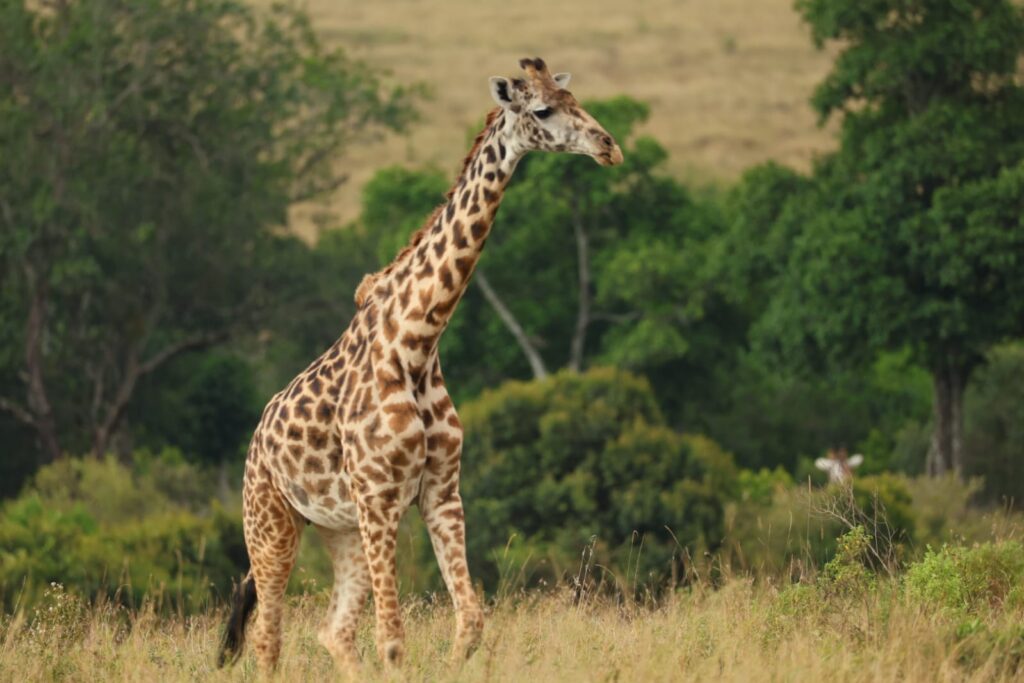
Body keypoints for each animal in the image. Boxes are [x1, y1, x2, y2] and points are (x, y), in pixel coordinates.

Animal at [217, 57, 623, 674]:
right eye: (543, 109)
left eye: (575, 98)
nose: (609, 146)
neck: (417, 342)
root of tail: (256, 441)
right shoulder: (381, 498)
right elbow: (393, 638)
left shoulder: (440, 491)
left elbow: (470, 621)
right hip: (270, 522)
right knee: (269, 638)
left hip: (340, 529)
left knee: (333, 632)